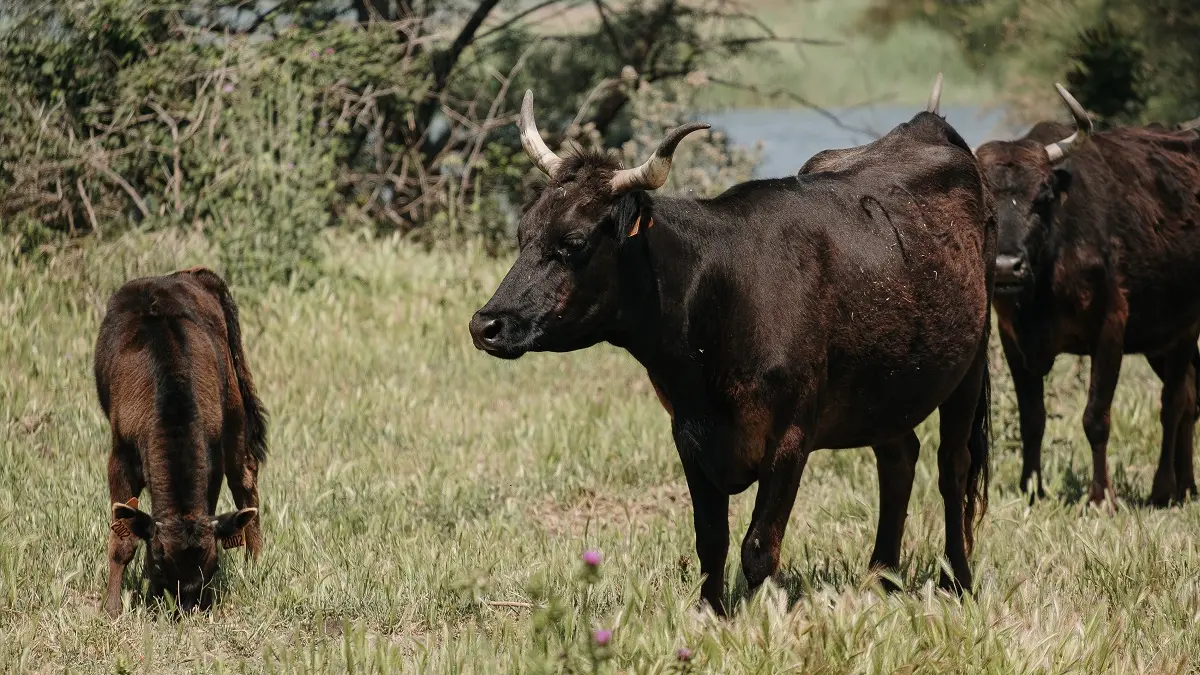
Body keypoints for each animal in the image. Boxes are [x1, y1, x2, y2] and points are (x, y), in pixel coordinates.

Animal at [96, 265, 270, 612]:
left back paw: (255, 563)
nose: (186, 608)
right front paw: (112, 608)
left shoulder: (212, 458)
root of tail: (187, 274)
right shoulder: (120, 457)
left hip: (234, 406)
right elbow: (122, 538)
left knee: (244, 478)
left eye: (212, 566)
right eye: (158, 564)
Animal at [468, 76, 993, 612]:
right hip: (884, 384)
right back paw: (880, 578)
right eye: (523, 233)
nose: (485, 325)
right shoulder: (688, 432)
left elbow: (758, 546)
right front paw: (710, 613)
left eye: (573, 243)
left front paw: (759, 617)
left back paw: (957, 580)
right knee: (899, 457)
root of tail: (925, 125)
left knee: (953, 469)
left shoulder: (790, 435)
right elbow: (710, 538)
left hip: (971, 362)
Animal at [974, 84, 1200, 504]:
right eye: (984, 198)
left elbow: (1096, 417)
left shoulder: (1110, 327)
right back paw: (1187, 484)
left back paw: (1164, 488)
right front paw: (1032, 488)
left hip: (1184, 327)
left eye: (1043, 196)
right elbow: (1033, 418)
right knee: (1190, 398)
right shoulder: (1012, 337)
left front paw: (1100, 496)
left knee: (1175, 403)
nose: (1006, 266)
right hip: (1160, 339)